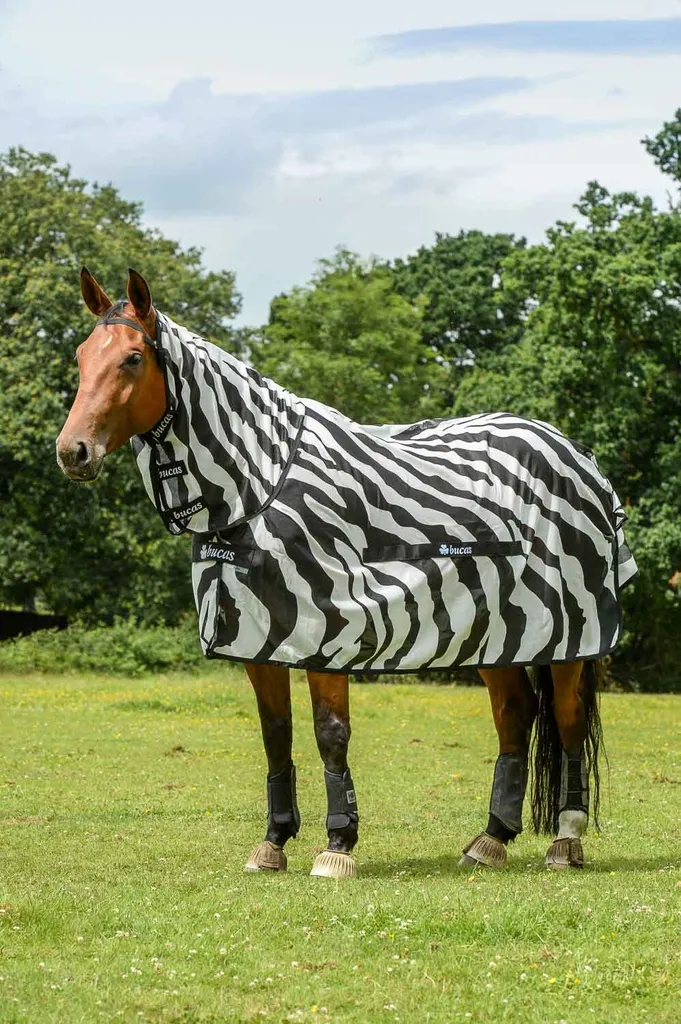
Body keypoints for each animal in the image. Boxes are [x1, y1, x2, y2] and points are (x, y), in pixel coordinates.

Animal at [56, 268, 637, 879]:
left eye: (133, 358)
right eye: (81, 357)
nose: (73, 452)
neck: (261, 481)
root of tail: (578, 455)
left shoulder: (328, 630)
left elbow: (330, 735)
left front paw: (337, 846)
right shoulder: (259, 638)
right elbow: (276, 736)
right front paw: (274, 842)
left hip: (571, 635)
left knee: (568, 721)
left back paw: (565, 843)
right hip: (497, 631)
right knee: (516, 713)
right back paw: (490, 839)